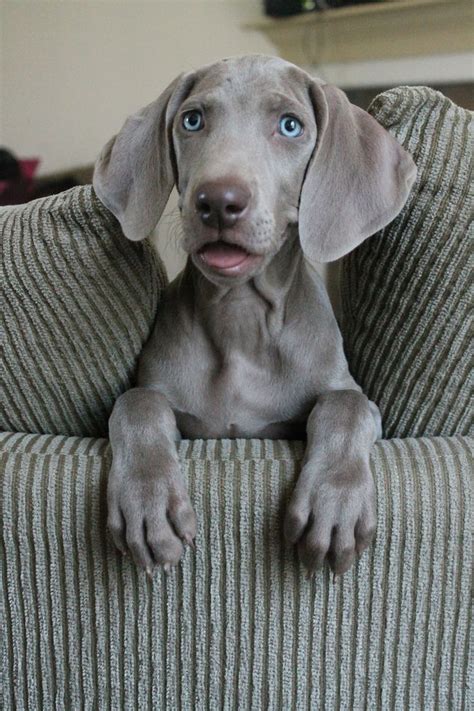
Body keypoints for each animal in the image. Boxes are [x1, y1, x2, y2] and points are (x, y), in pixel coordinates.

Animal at [92, 55, 414, 580]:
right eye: (192, 120)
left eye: (290, 126)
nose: (218, 201)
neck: (240, 315)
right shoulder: (169, 404)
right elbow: (137, 402)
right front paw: (148, 501)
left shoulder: (351, 396)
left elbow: (344, 406)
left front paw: (334, 505)